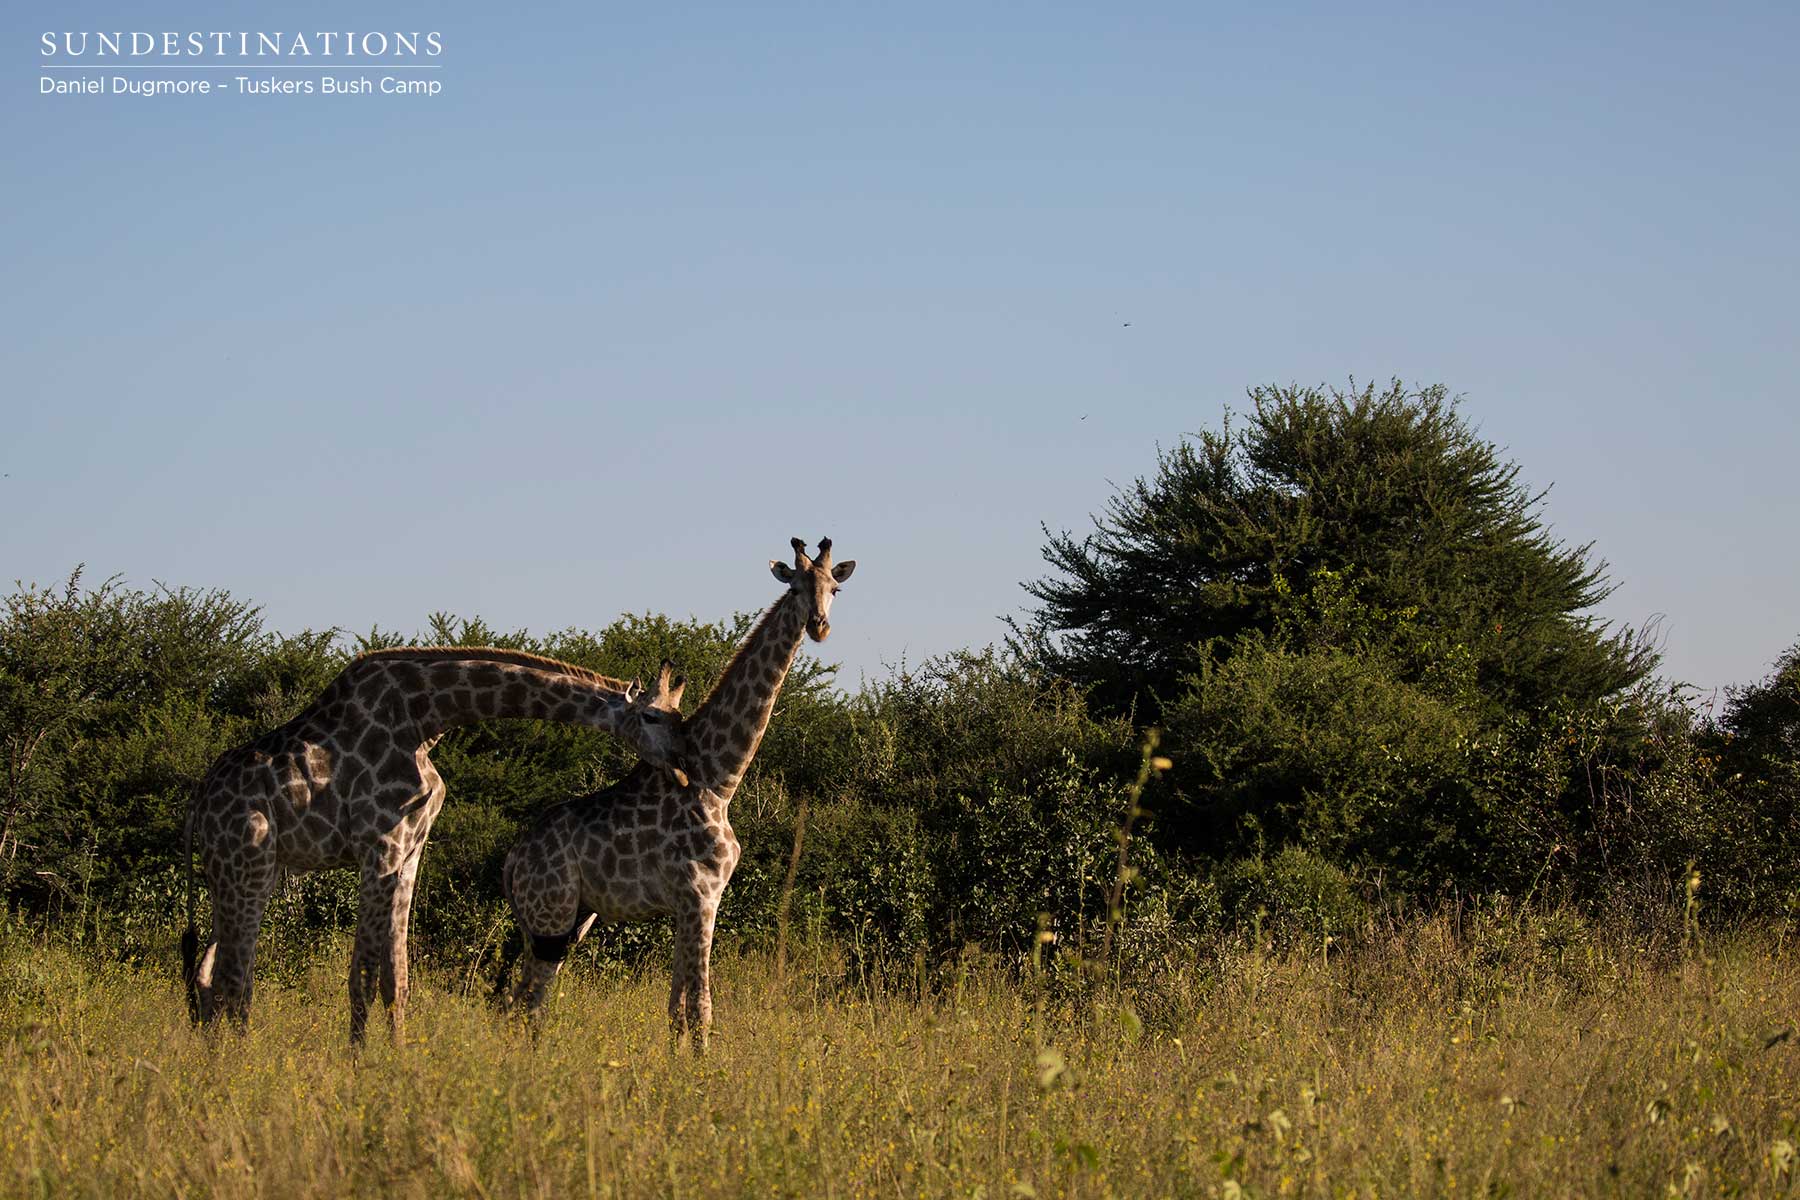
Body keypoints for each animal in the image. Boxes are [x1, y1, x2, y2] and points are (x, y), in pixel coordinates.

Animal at [181, 647, 691, 1044]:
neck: (426, 718)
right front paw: (358, 1069)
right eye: (652, 716)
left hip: (241, 872)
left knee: (207, 974)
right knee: (233, 979)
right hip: (246, 863)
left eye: (680, 718)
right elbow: (362, 974)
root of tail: (198, 802)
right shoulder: (379, 845)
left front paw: (398, 1065)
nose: (685, 766)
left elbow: (397, 978)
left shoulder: (410, 850)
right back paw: (237, 1067)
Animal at [495, 537, 855, 1049]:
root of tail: (512, 861)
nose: (819, 626)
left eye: (834, 588)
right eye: (797, 586)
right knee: (525, 1002)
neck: (718, 779)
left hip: (567, 919)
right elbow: (701, 1008)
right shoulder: (701, 895)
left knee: (522, 1001)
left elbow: (676, 1009)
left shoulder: (693, 903)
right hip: (550, 913)